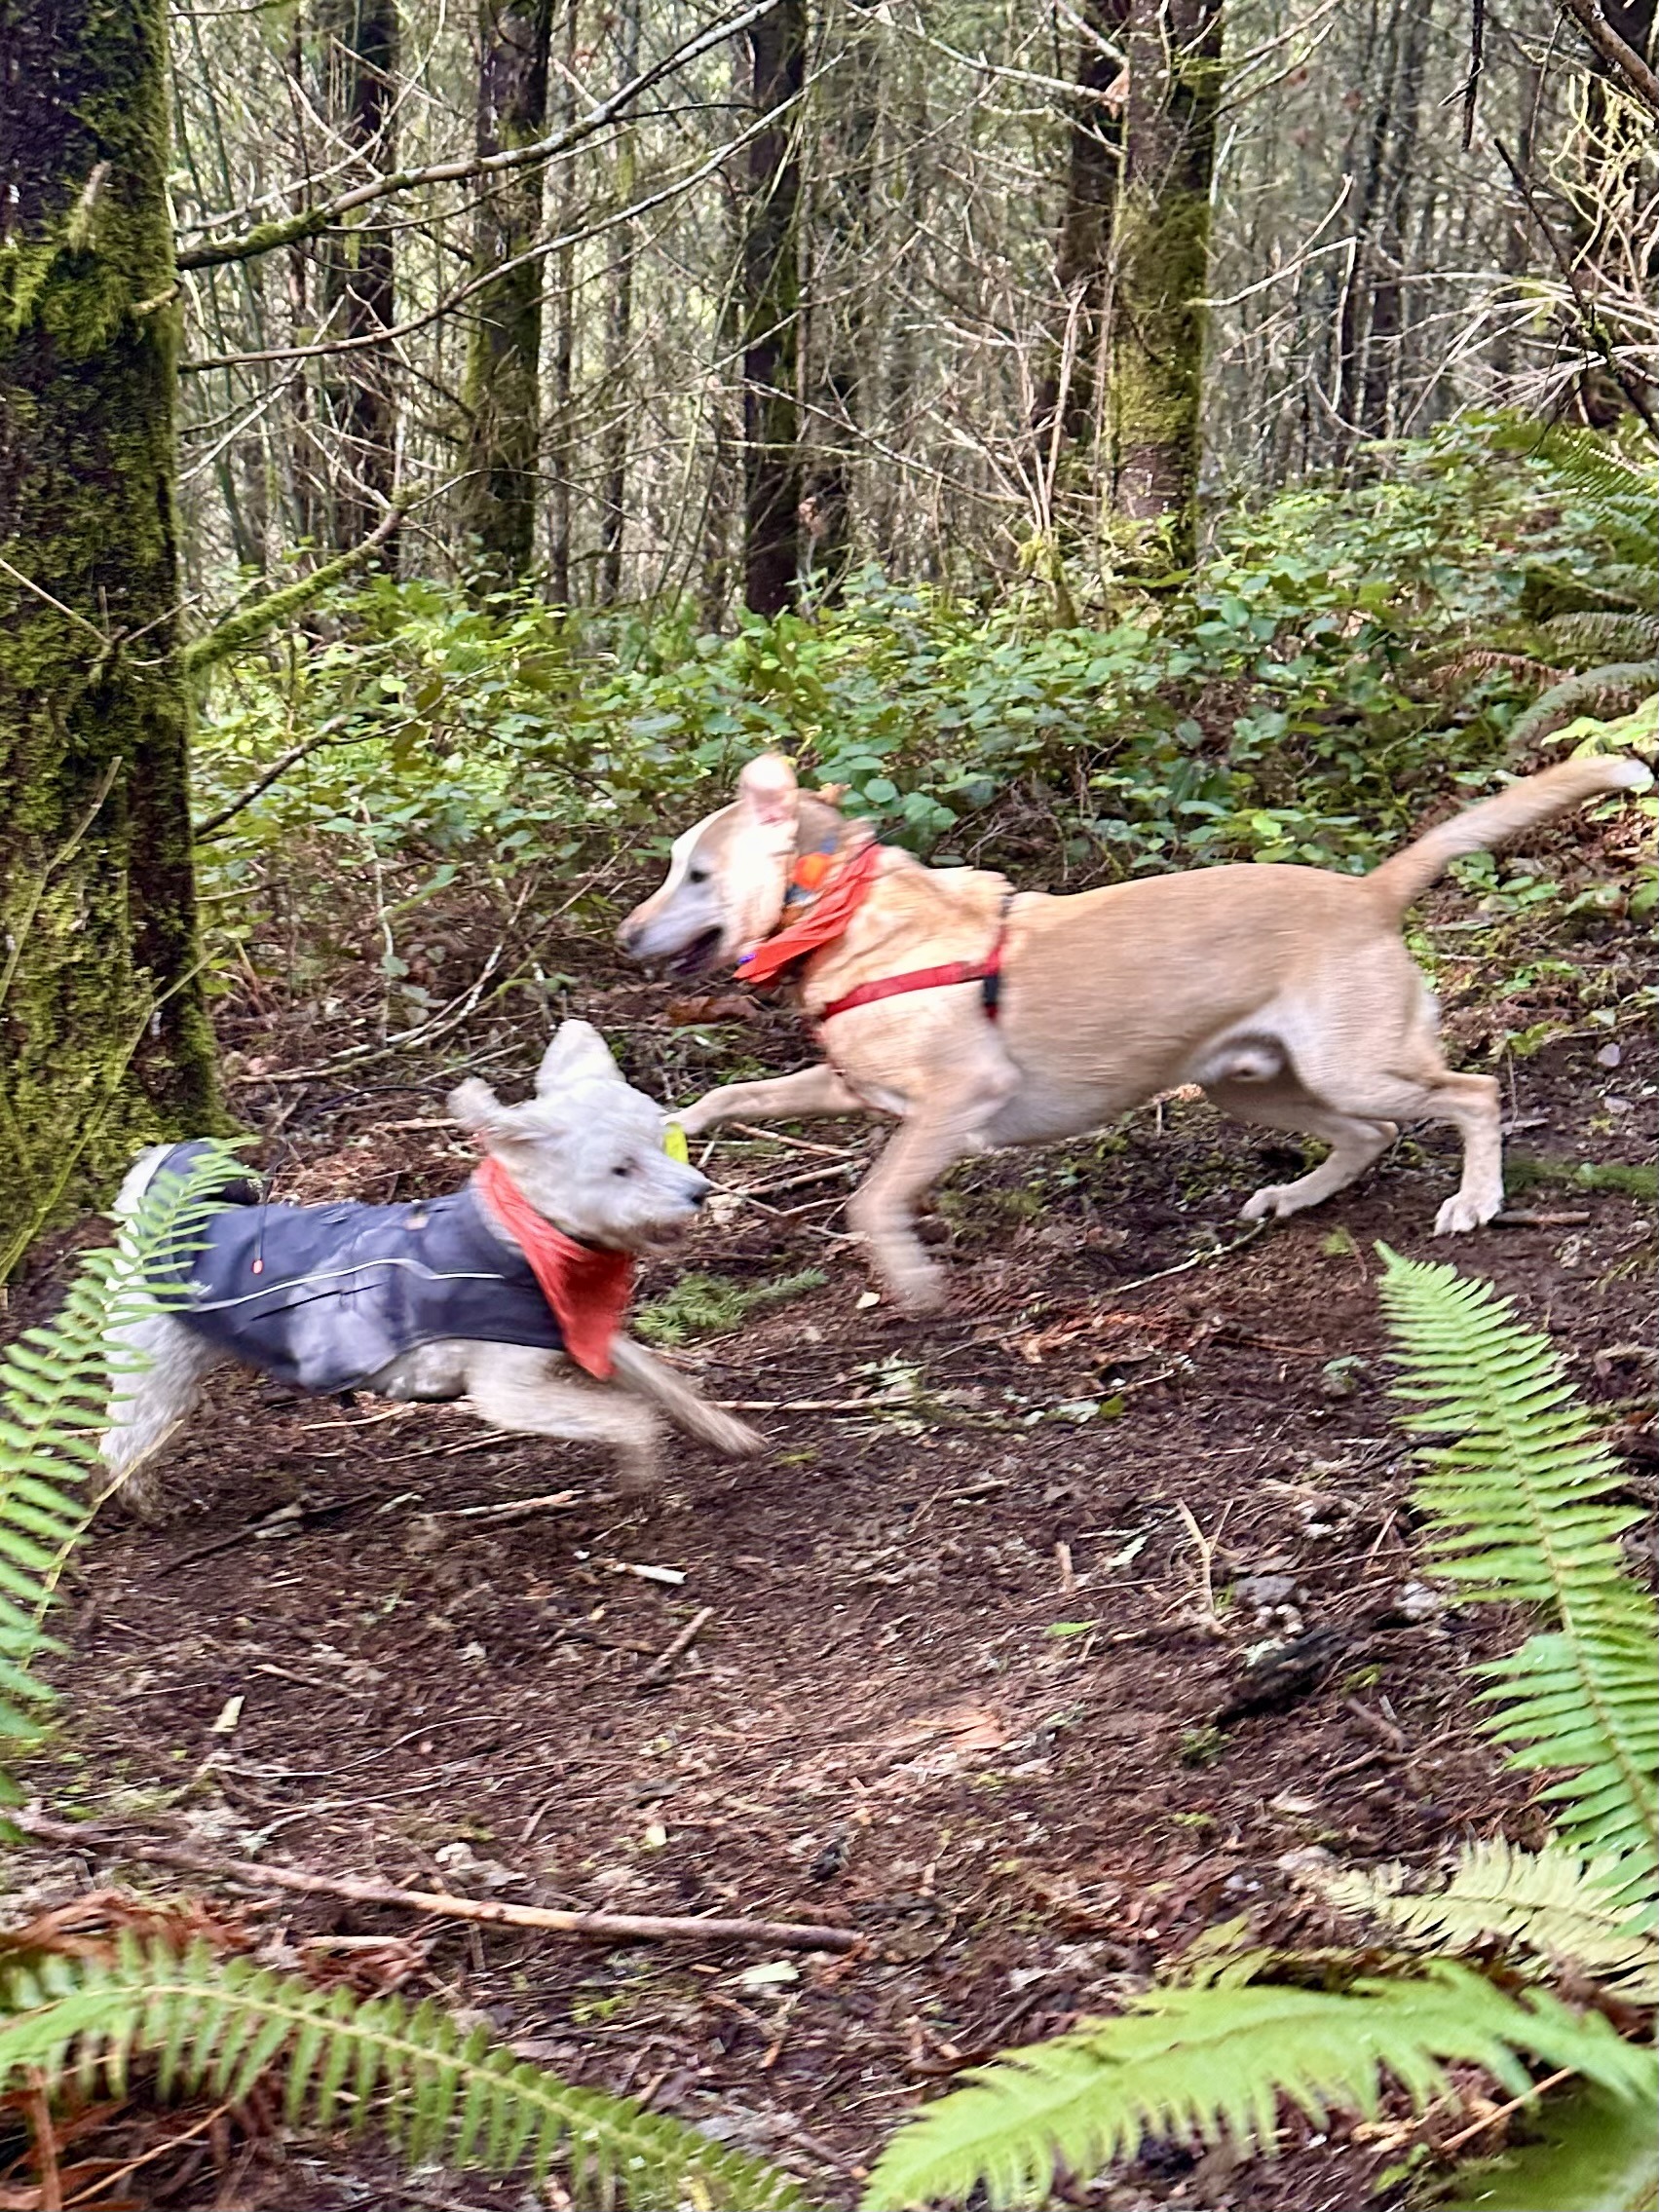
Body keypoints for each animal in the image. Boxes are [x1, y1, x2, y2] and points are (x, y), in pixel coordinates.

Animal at [96, 1022, 761, 1521]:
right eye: (621, 1168)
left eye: (660, 1140)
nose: (700, 1193)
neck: (521, 1237)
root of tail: (152, 1220)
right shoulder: (505, 1392)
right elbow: (629, 1416)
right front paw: (645, 1474)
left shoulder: (574, 1333)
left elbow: (661, 1380)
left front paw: (726, 1432)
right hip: (156, 1368)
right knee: (121, 1439)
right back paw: (144, 1505)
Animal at [619, 761, 1654, 1309]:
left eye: (697, 874)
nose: (625, 938)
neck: (843, 910)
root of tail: (1368, 891)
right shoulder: (852, 1086)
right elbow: (732, 1094)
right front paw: (673, 1134)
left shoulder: (953, 1104)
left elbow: (871, 1201)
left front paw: (910, 1283)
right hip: (1250, 1081)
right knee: (1368, 1135)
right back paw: (1294, 1196)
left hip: (1352, 1065)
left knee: (1469, 1096)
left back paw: (1474, 1199)